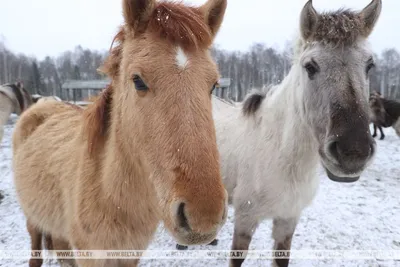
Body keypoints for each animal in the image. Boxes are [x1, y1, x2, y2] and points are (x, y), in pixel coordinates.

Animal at [11, 0, 228, 267]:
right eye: (138, 80)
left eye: (213, 84)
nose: (203, 215)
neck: (110, 197)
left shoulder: (129, 255)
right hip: (32, 219)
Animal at [180, 1, 382, 266]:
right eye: (310, 67)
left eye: (369, 65)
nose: (353, 153)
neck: (280, 154)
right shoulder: (246, 218)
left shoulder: (288, 219)